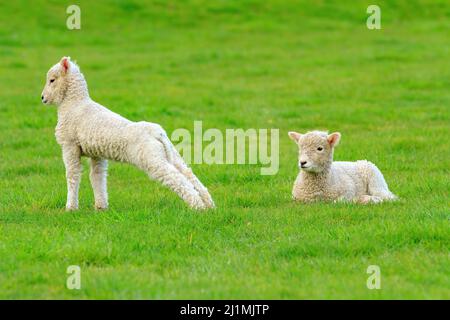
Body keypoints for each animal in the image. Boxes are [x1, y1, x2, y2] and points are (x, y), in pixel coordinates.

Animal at [40, 56, 214, 211]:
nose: (42, 98)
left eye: (52, 80)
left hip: (152, 159)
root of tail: (157, 132)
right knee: (188, 174)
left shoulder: (69, 145)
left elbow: (72, 176)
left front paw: (70, 207)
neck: (74, 103)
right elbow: (97, 177)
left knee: (177, 178)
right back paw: (209, 205)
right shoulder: (96, 153)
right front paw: (101, 206)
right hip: (169, 154)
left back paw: (197, 207)